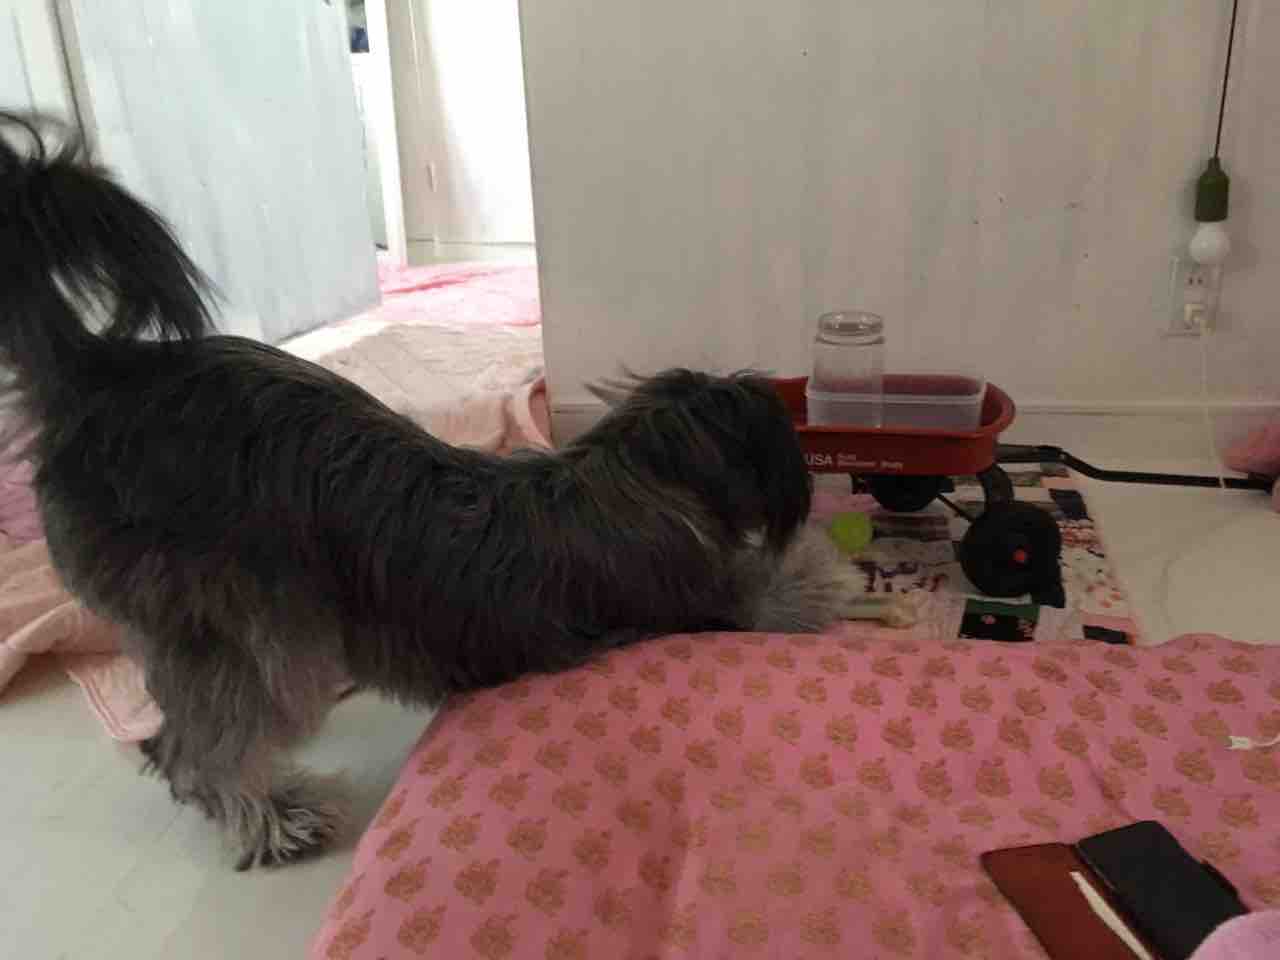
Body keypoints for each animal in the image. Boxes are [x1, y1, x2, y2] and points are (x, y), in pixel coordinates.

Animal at [0, 111, 912, 869]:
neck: (631, 473)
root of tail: (96, 373)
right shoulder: (729, 602)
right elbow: (797, 584)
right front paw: (845, 571)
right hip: (250, 623)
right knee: (201, 749)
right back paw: (276, 819)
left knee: (171, 740)